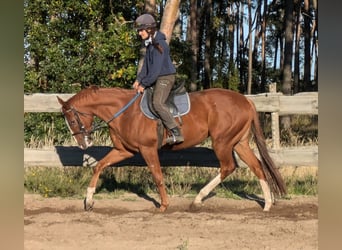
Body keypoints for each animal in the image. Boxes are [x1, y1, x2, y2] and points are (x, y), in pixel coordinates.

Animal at [56, 85, 286, 211]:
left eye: (72, 120)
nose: (84, 144)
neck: (124, 111)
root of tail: (247, 101)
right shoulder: (124, 151)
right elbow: (99, 166)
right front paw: (88, 201)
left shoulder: (147, 149)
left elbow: (157, 176)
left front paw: (164, 205)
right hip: (239, 143)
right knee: (257, 166)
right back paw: (267, 204)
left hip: (222, 141)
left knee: (228, 167)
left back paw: (198, 199)